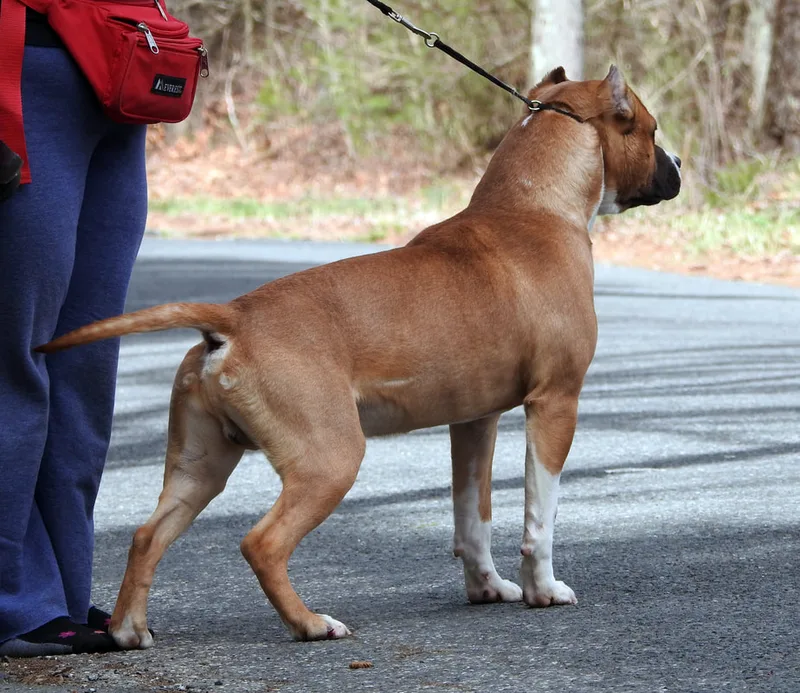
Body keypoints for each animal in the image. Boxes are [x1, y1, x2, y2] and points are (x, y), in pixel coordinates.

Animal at [37, 65, 681, 646]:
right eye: (650, 130)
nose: (678, 165)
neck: (531, 206)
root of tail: (234, 317)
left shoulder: (474, 421)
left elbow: (472, 514)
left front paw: (488, 587)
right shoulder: (555, 404)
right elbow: (538, 514)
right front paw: (542, 590)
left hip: (201, 466)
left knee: (148, 535)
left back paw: (128, 630)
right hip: (329, 458)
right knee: (261, 543)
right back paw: (310, 624)